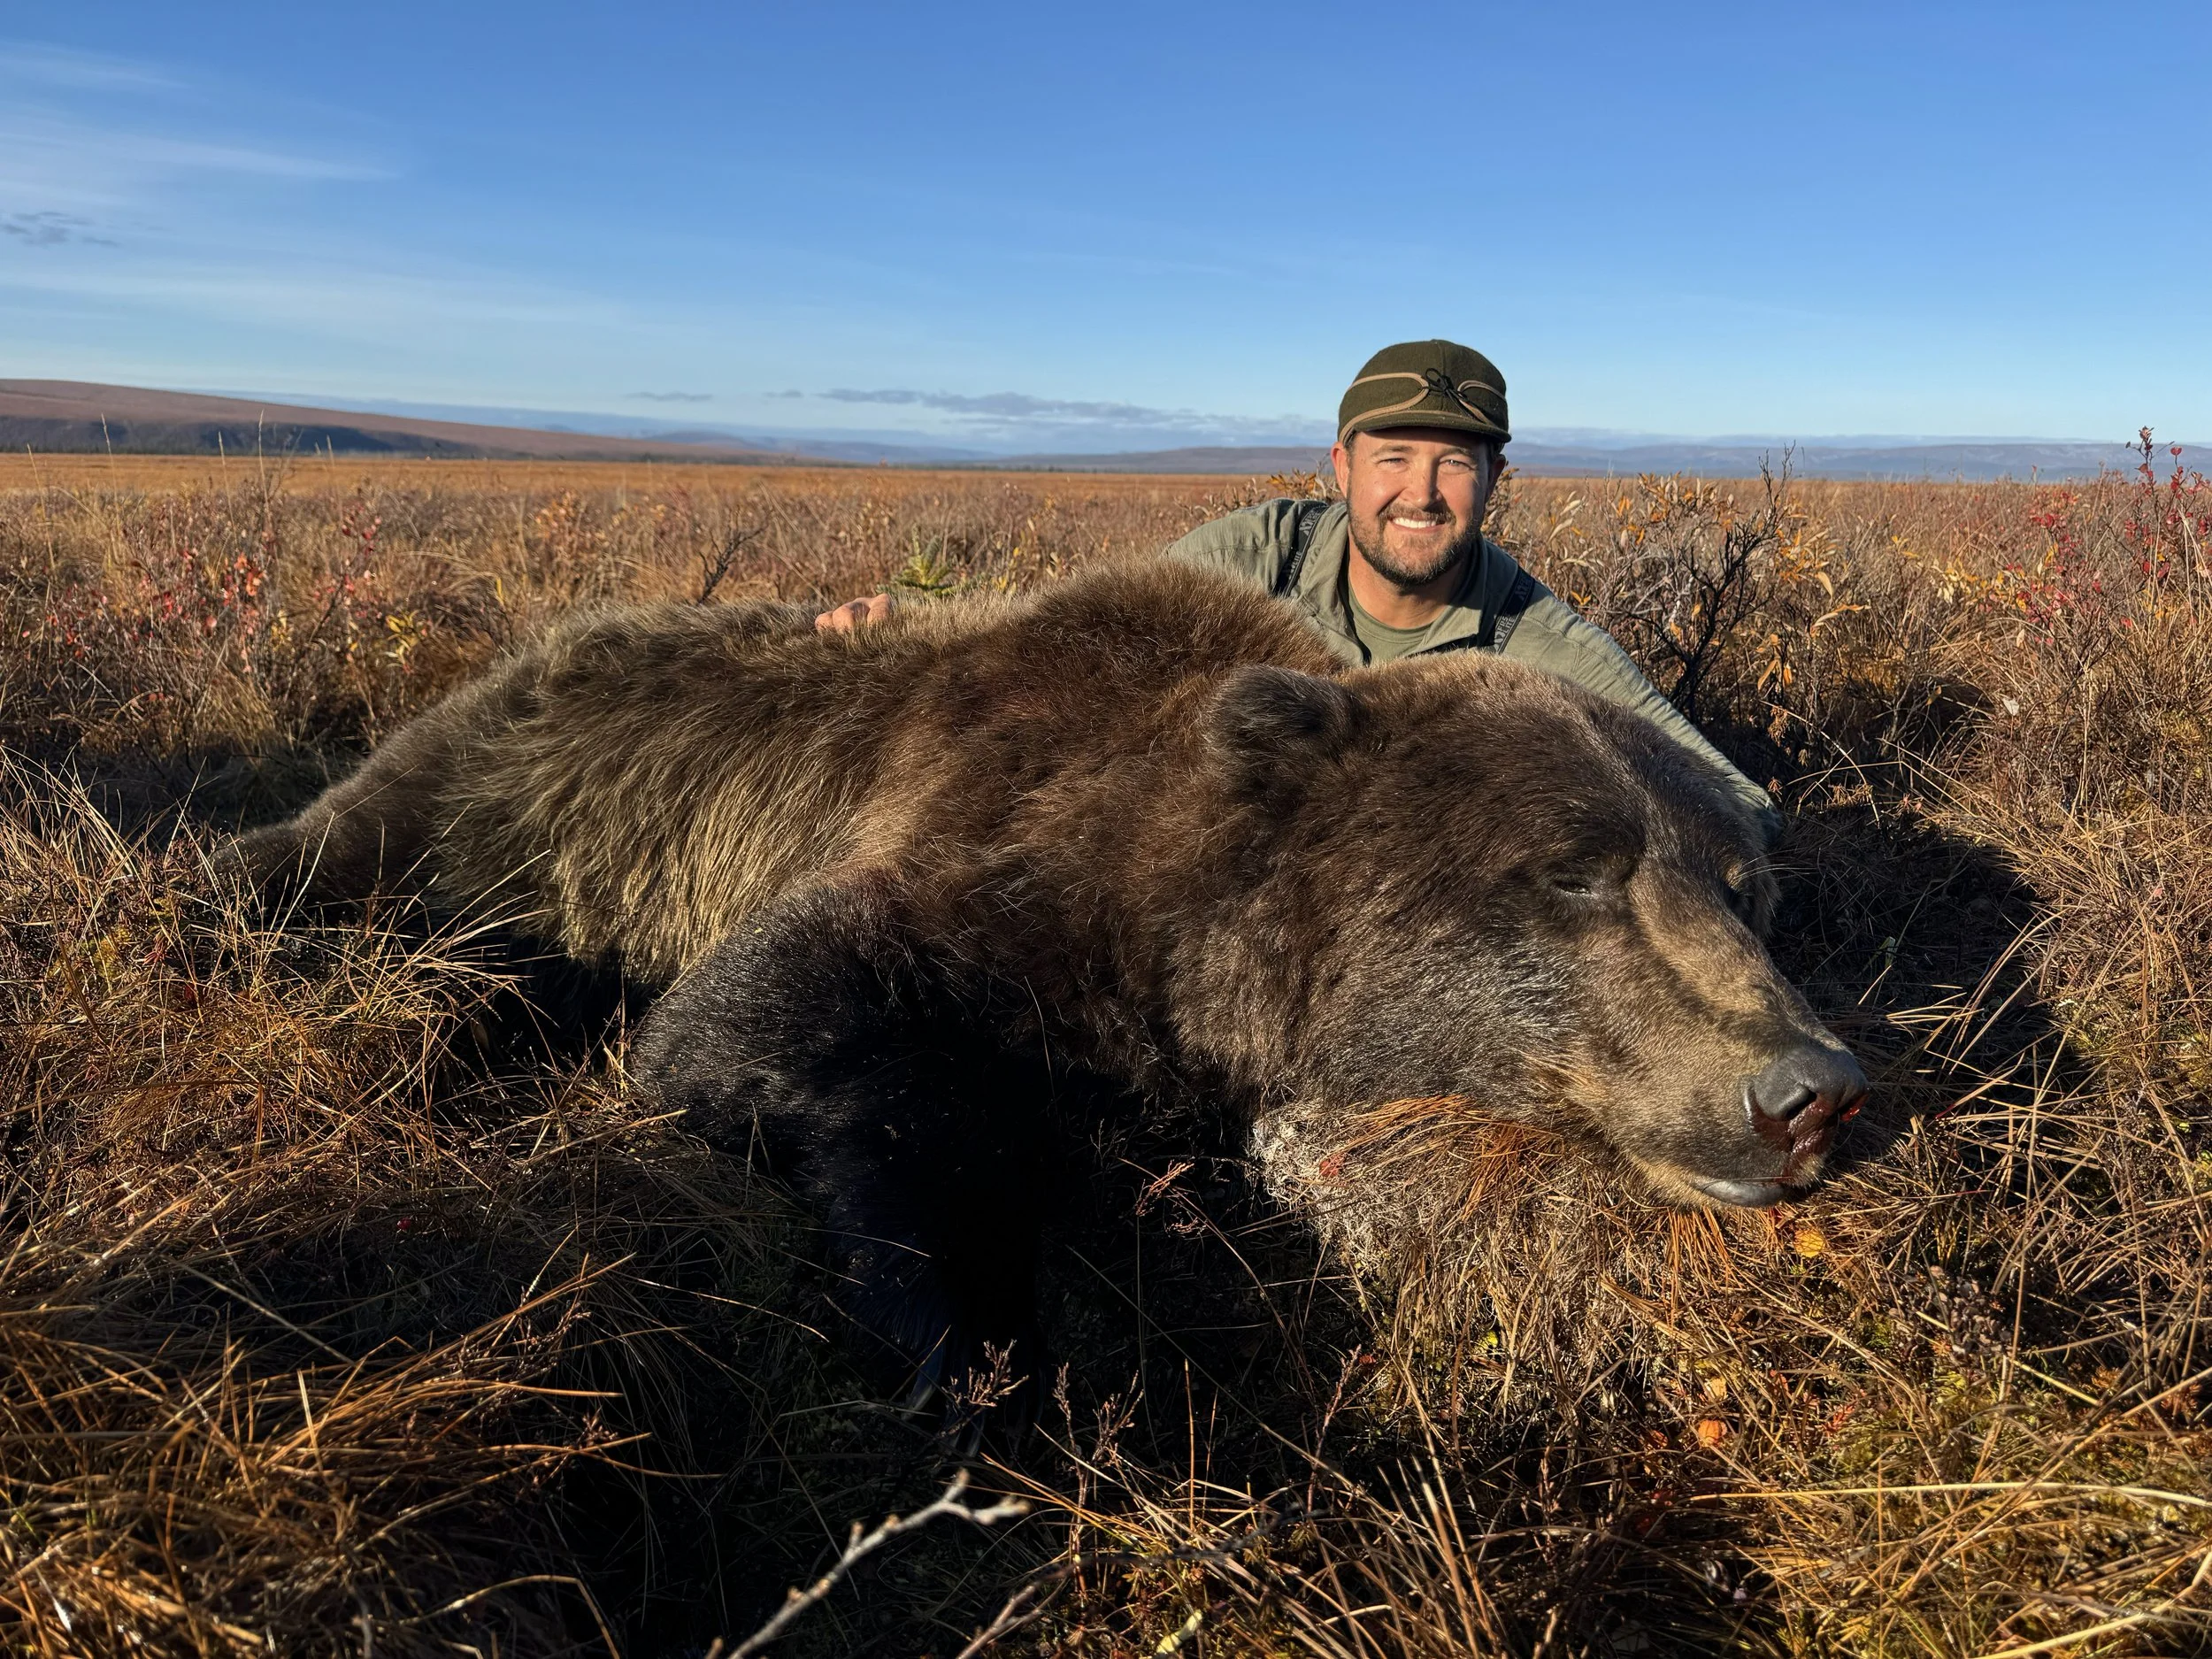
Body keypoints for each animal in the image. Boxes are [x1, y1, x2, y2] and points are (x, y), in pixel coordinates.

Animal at [232, 559, 1867, 1403]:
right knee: (333, 858)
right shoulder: (980, 851)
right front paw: (972, 1335)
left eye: (1739, 881)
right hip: (496, 785)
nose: (1810, 1087)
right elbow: (761, 1026)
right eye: (1577, 870)